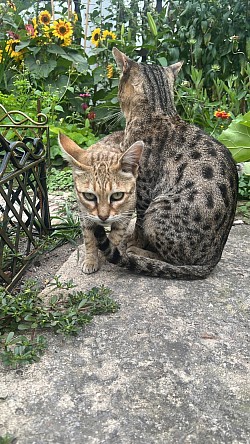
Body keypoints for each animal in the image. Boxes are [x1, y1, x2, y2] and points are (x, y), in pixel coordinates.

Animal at [58, 131, 144, 274]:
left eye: (117, 196)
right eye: (89, 196)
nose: (103, 217)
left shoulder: (126, 214)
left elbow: (115, 236)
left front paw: (106, 255)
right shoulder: (85, 215)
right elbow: (89, 239)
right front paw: (91, 260)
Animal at [94, 47, 238, 278]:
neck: (159, 112)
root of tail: (213, 259)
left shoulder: (143, 190)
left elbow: (139, 224)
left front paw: (135, 243)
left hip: (158, 208)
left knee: (172, 262)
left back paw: (140, 253)